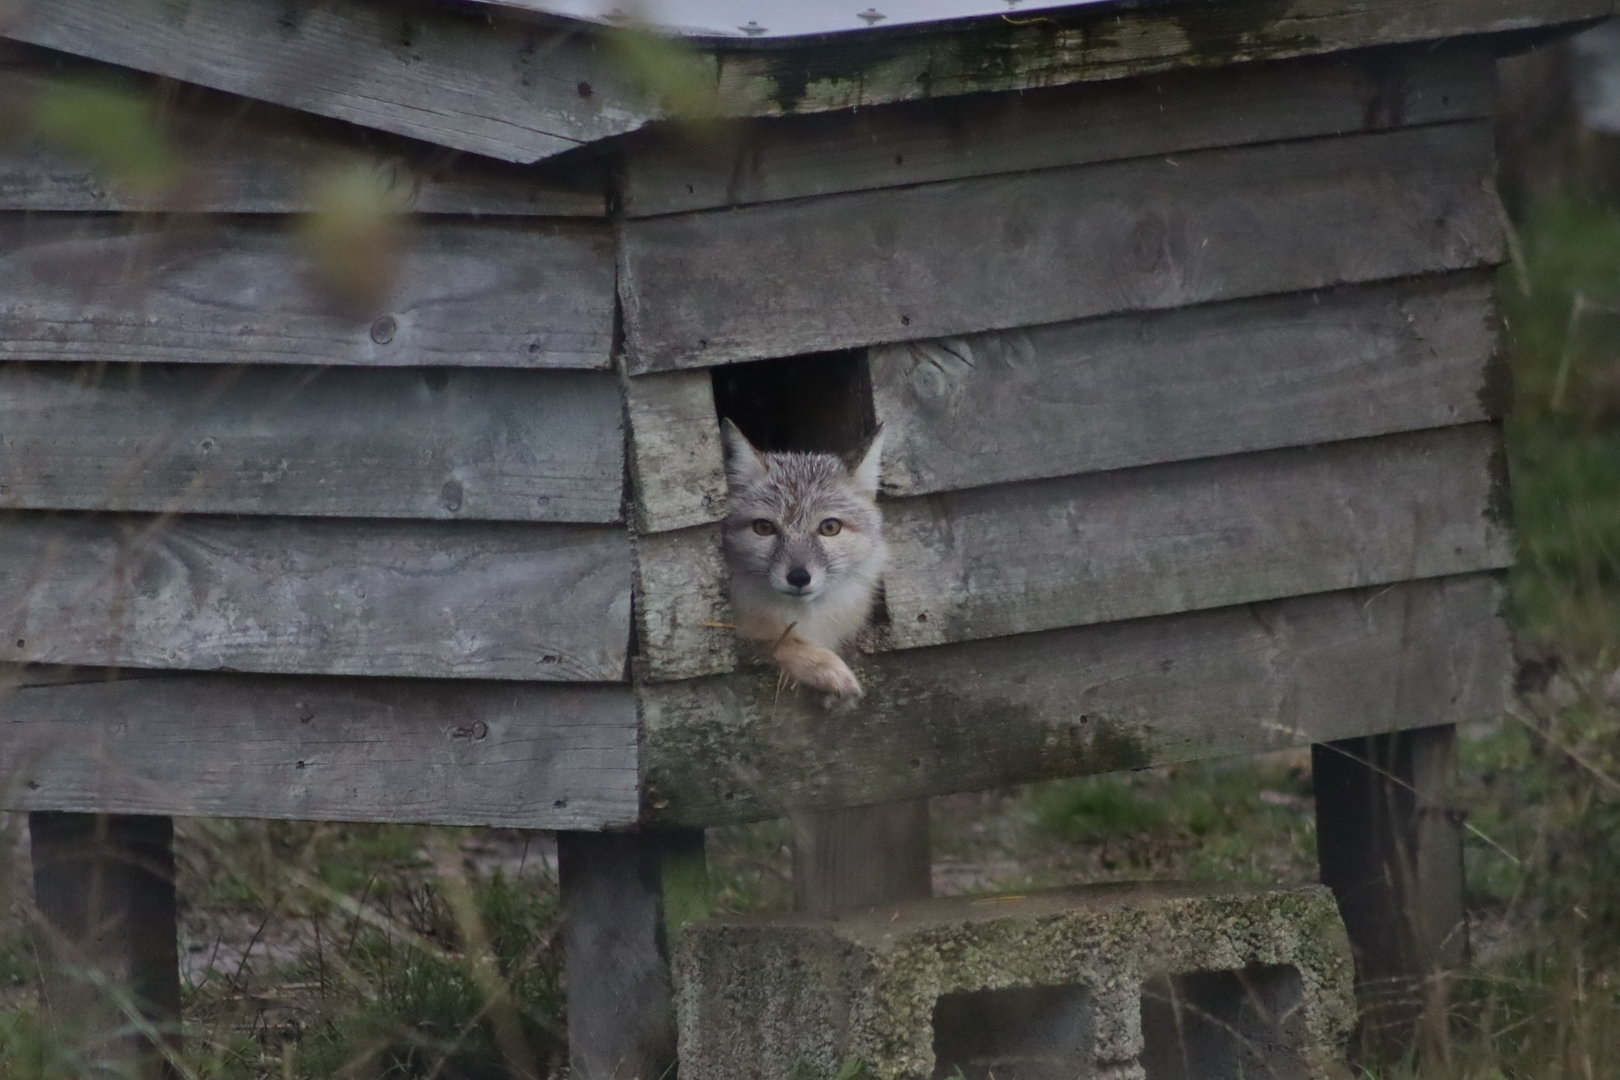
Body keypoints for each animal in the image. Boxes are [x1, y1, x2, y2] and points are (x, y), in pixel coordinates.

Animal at [720, 419, 887, 702]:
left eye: (830, 527)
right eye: (763, 528)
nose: (798, 577)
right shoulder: (745, 634)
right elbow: (779, 642)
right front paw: (826, 668)